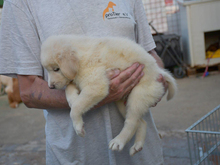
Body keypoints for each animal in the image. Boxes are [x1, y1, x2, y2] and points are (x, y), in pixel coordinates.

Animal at [40, 34, 176, 156]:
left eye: (56, 69)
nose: (50, 87)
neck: (81, 57)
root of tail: (158, 72)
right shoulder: (79, 80)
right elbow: (70, 88)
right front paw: (72, 99)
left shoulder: (96, 86)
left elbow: (76, 108)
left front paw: (78, 127)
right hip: (122, 102)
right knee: (141, 122)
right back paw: (137, 146)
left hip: (138, 96)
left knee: (131, 122)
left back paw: (119, 141)